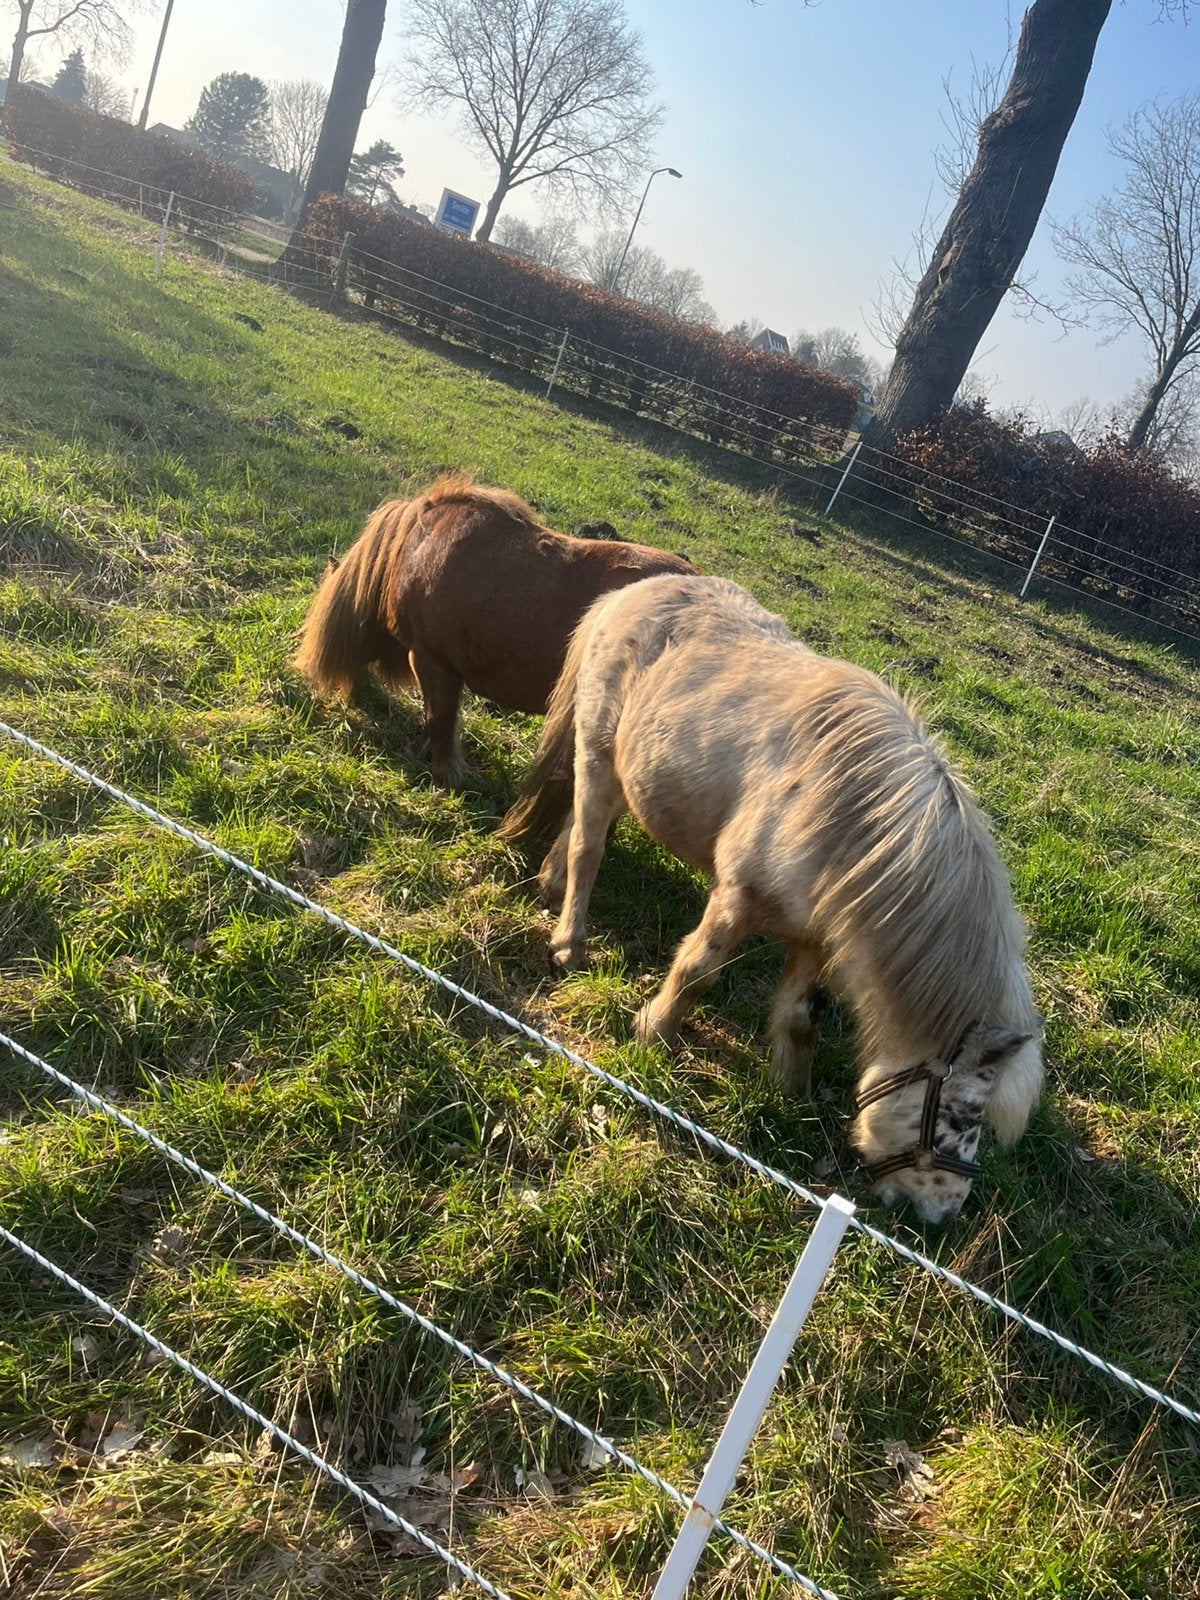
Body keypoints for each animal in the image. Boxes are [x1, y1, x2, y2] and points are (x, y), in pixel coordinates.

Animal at [293, 476, 697, 786]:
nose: (348, 698)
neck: (416, 549)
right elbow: (437, 716)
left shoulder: (430, 658)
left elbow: (438, 718)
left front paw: (443, 775)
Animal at [498, 574, 1043, 1223]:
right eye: (961, 1116)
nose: (943, 1216)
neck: (850, 821)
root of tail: (629, 591)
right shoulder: (736, 900)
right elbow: (698, 972)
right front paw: (652, 1032)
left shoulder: (816, 938)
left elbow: (803, 1016)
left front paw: (791, 1093)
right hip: (597, 751)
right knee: (588, 845)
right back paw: (568, 942)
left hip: (633, 771)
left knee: (581, 826)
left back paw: (551, 884)